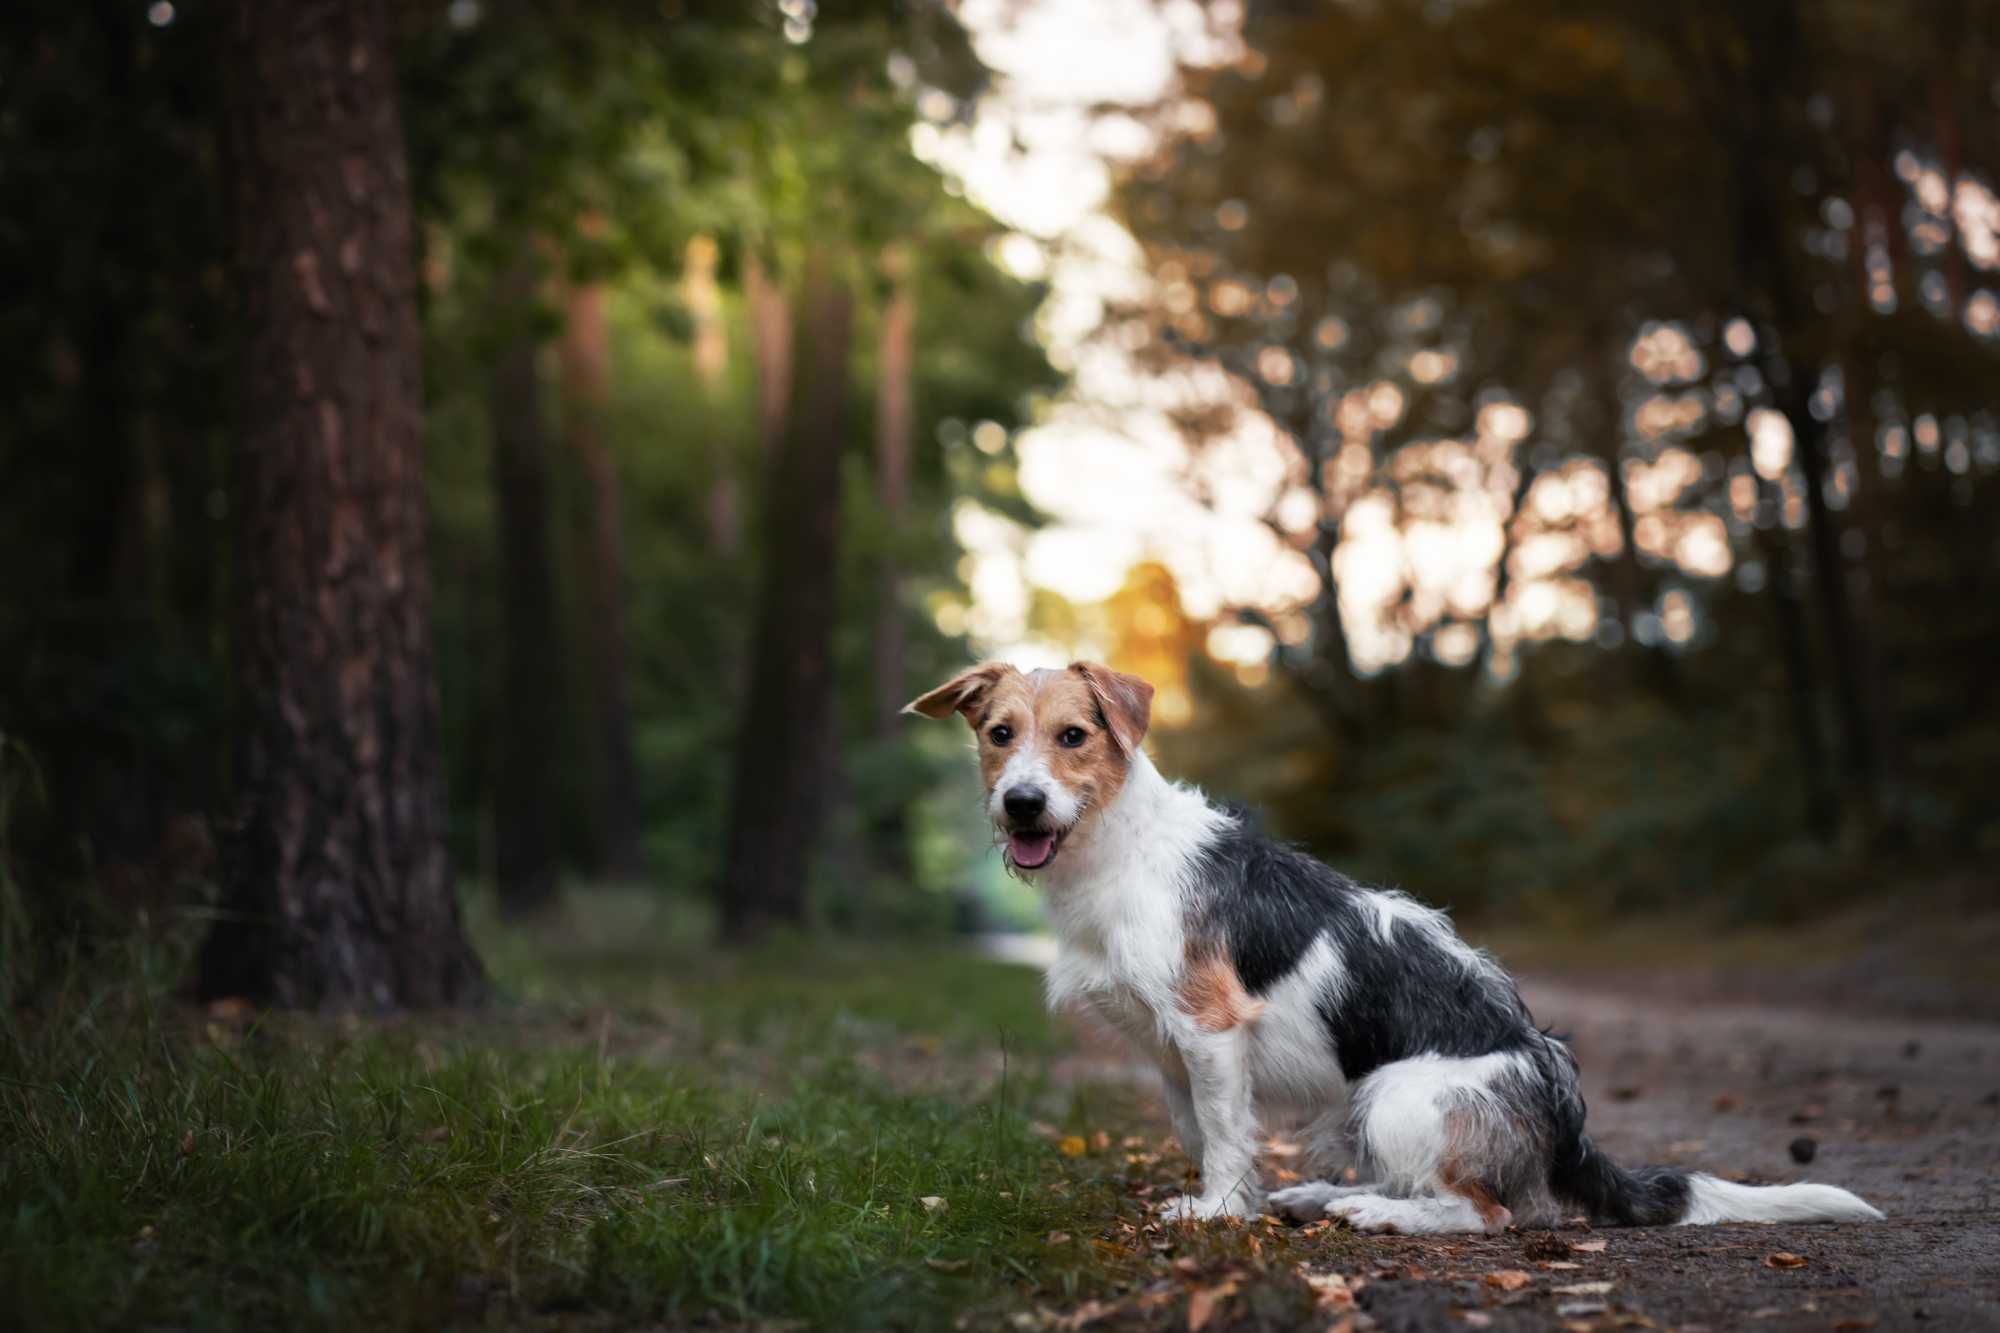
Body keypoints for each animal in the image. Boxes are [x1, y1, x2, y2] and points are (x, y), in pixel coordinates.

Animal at [916, 660, 1880, 1232]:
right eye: (999, 734)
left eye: (1074, 735)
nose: (1022, 804)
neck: (1116, 845)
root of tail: (1561, 1103)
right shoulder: (1170, 1052)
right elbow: (1202, 1127)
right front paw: (1238, 1199)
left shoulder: (1210, 1030)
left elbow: (1224, 1133)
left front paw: (1219, 1210)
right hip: (1368, 1105)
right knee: (1418, 1182)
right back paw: (1325, 1193)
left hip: (1395, 1095)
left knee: (1484, 1212)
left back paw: (1383, 1216)